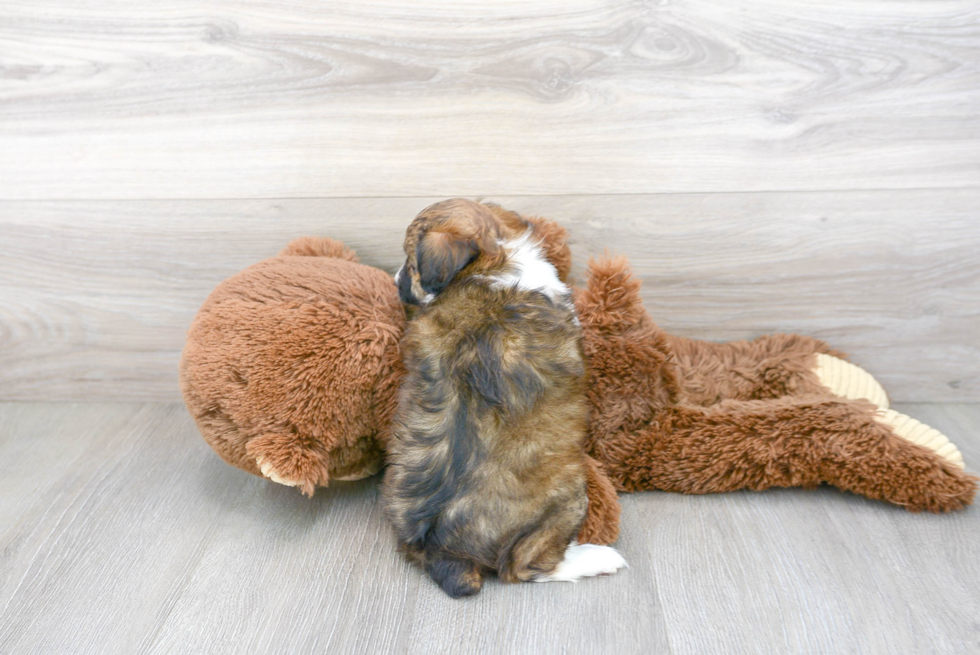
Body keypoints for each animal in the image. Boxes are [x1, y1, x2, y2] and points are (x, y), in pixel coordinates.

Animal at [382, 197, 628, 596]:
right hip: (569, 497)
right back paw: (594, 558)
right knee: (525, 567)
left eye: (410, 264)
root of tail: (442, 550)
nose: (393, 281)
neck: (488, 266)